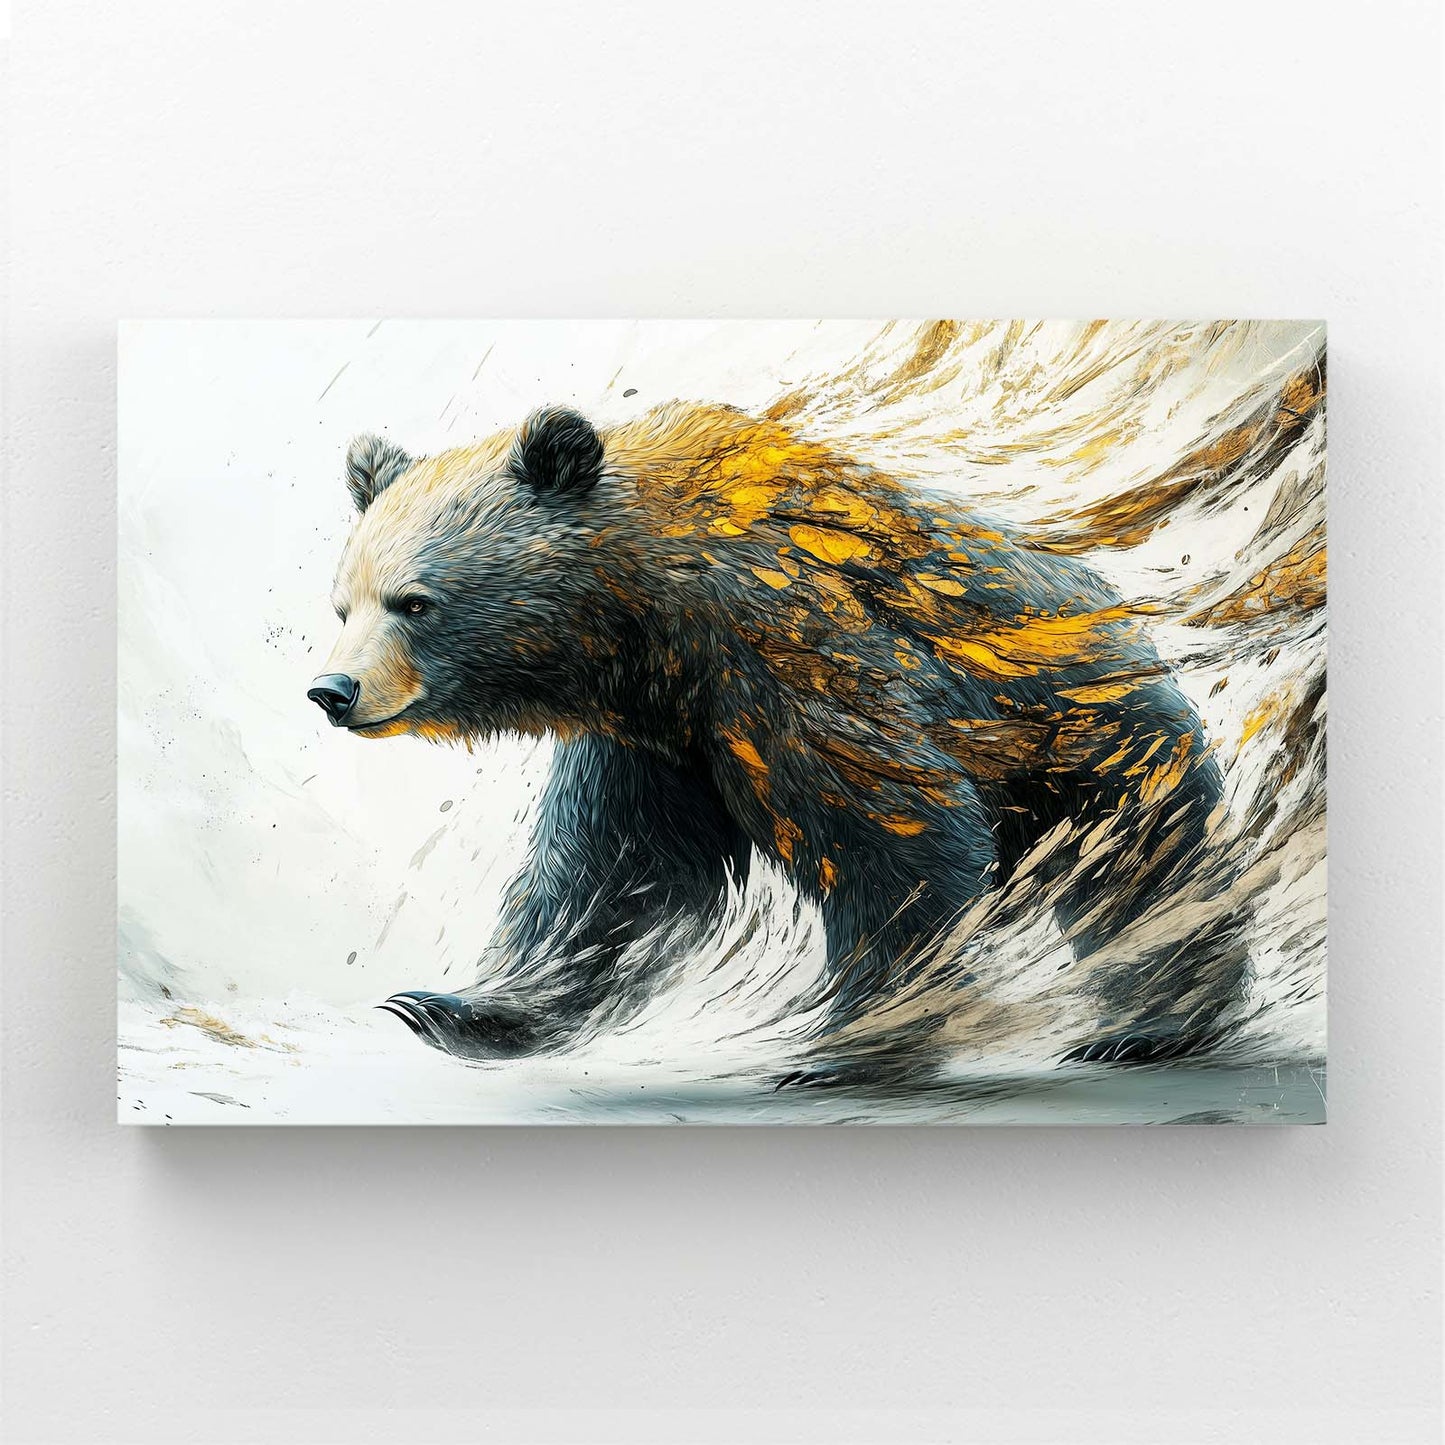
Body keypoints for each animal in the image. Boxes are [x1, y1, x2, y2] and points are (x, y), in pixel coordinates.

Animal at [309, 401, 1248, 1077]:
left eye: (414, 601)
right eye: (343, 603)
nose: (333, 691)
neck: (650, 619)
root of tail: (1120, 611)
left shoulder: (789, 659)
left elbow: (892, 835)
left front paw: (854, 1038)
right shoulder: (660, 738)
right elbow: (611, 869)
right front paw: (456, 1008)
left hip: (1092, 738)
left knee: (1140, 870)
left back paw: (1152, 1027)